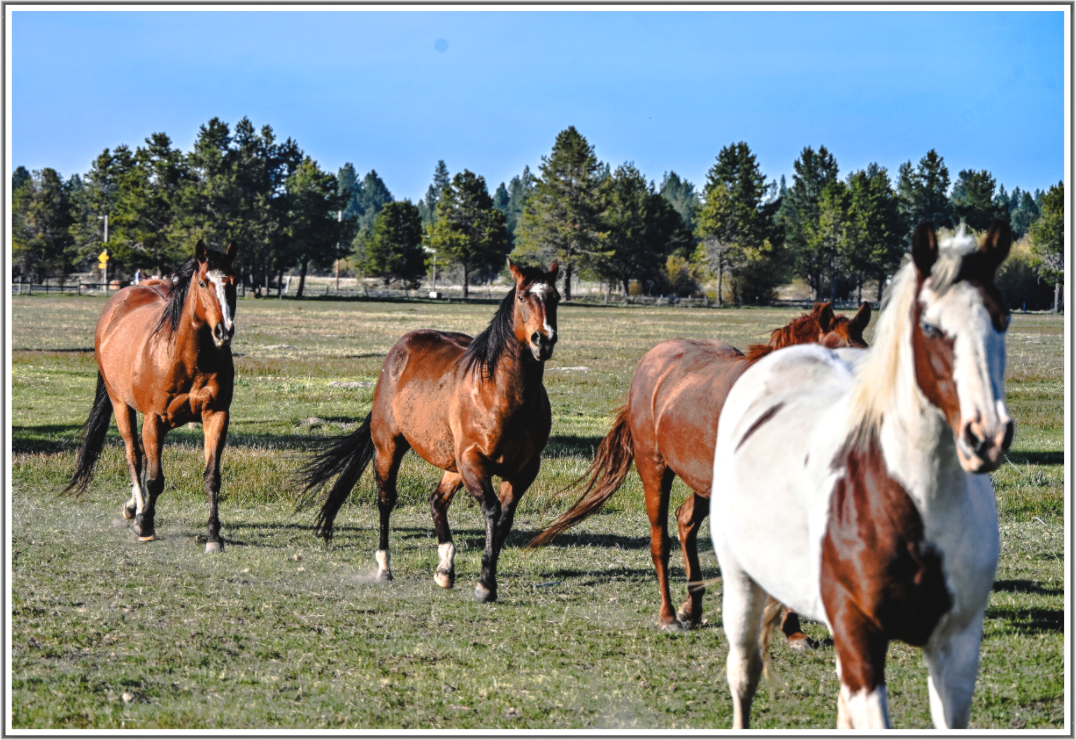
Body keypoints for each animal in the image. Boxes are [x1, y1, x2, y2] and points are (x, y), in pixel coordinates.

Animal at [62, 241, 239, 554]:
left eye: (234, 281)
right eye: (203, 282)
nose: (224, 330)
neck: (189, 358)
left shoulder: (216, 416)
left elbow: (212, 478)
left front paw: (214, 536)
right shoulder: (155, 420)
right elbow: (155, 479)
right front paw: (145, 525)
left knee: (141, 455)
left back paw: (134, 506)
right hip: (121, 404)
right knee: (134, 454)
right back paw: (138, 510)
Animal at [299, 259, 560, 603]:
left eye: (555, 297)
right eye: (521, 297)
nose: (543, 340)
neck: (504, 395)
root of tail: (398, 353)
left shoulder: (523, 470)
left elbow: (504, 519)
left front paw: (484, 578)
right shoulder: (473, 460)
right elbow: (492, 512)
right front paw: (485, 584)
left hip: (453, 464)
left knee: (437, 501)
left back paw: (445, 569)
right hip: (390, 447)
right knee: (386, 500)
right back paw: (385, 567)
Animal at [529, 301, 871, 638]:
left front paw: (793, 630)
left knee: (685, 521)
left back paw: (691, 609)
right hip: (656, 470)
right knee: (660, 541)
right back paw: (668, 615)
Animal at [710, 220, 1012, 729]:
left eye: (1003, 319)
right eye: (929, 325)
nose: (986, 434)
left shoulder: (957, 647)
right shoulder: (858, 635)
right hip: (741, 583)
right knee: (743, 675)